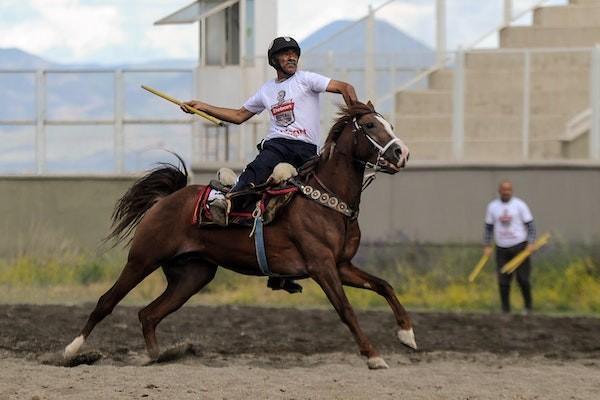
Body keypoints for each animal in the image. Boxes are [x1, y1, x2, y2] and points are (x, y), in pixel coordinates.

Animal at [64, 101, 412, 368]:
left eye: (390, 124)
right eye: (369, 125)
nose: (401, 153)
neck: (325, 200)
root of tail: (166, 200)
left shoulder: (341, 265)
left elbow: (384, 286)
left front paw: (407, 335)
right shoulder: (322, 267)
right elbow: (346, 310)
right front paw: (374, 356)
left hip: (193, 275)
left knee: (148, 315)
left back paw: (157, 356)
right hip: (142, 259)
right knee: (107, 301)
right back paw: (71, 351)